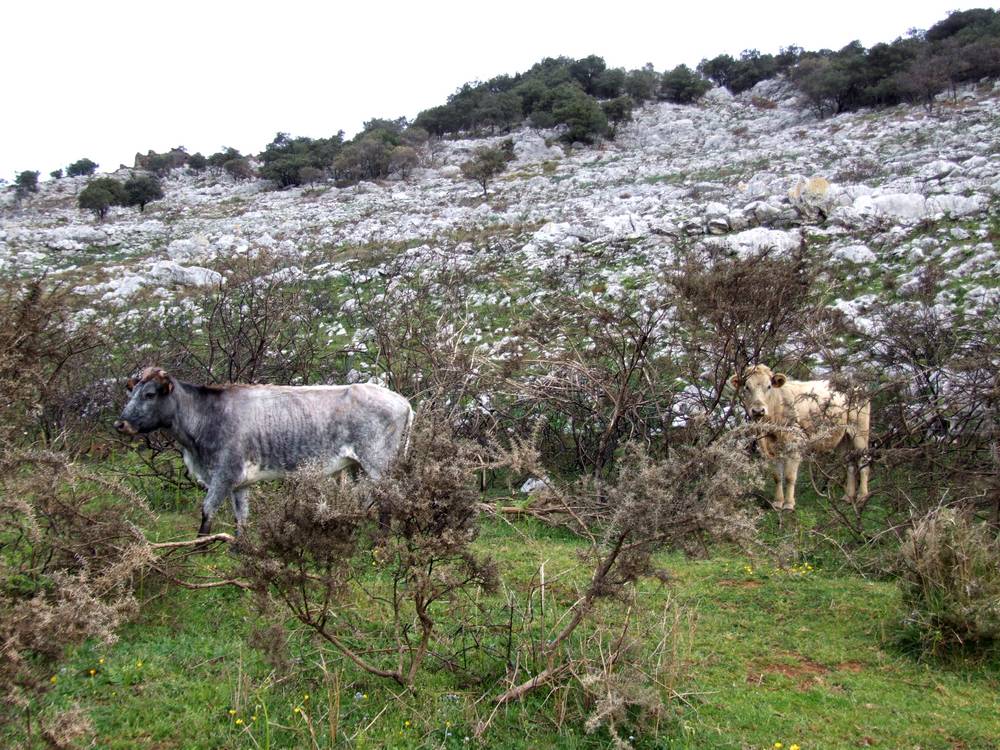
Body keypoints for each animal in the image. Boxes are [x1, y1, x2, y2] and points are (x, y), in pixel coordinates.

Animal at [115, 368, 412, 536]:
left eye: (150, 394)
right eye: (132, 393)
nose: (121, 424)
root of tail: (402, 401)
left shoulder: (223, 474)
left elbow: (207, 511)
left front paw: (200, 548)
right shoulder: (240, 483)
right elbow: (241, 516)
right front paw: (239, 548)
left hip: (378, 463)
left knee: (387, 499)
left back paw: (381, 540)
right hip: (357, 467)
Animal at [732, 364, 872, 512]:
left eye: (769, 386)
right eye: (746, 387)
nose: (758, 410)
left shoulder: (795, 445)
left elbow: (789, 476)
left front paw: (788, 504)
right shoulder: (770, 449)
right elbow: (777, 476)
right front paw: (777, 502)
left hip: (860, 431)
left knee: (863, 462)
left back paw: (862, 497)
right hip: (843, 437)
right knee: (849, 464)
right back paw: (847, 497)